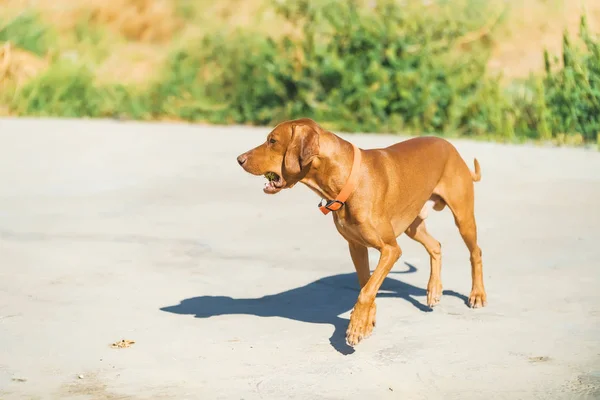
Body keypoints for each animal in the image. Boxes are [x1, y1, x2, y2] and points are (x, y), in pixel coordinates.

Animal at [236, 117, 488, 346]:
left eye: (272, 141)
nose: (239, 159)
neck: (348, 180)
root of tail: (450, 146)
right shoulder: (356, 247)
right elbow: (367, 284)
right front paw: (366, 321)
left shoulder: (390, 249)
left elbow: (367, 290)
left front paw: (356, 326)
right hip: (412, 225)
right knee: (436, 246)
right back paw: (434, 289)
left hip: (463, 217)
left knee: (475, 252)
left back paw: (477, 294)